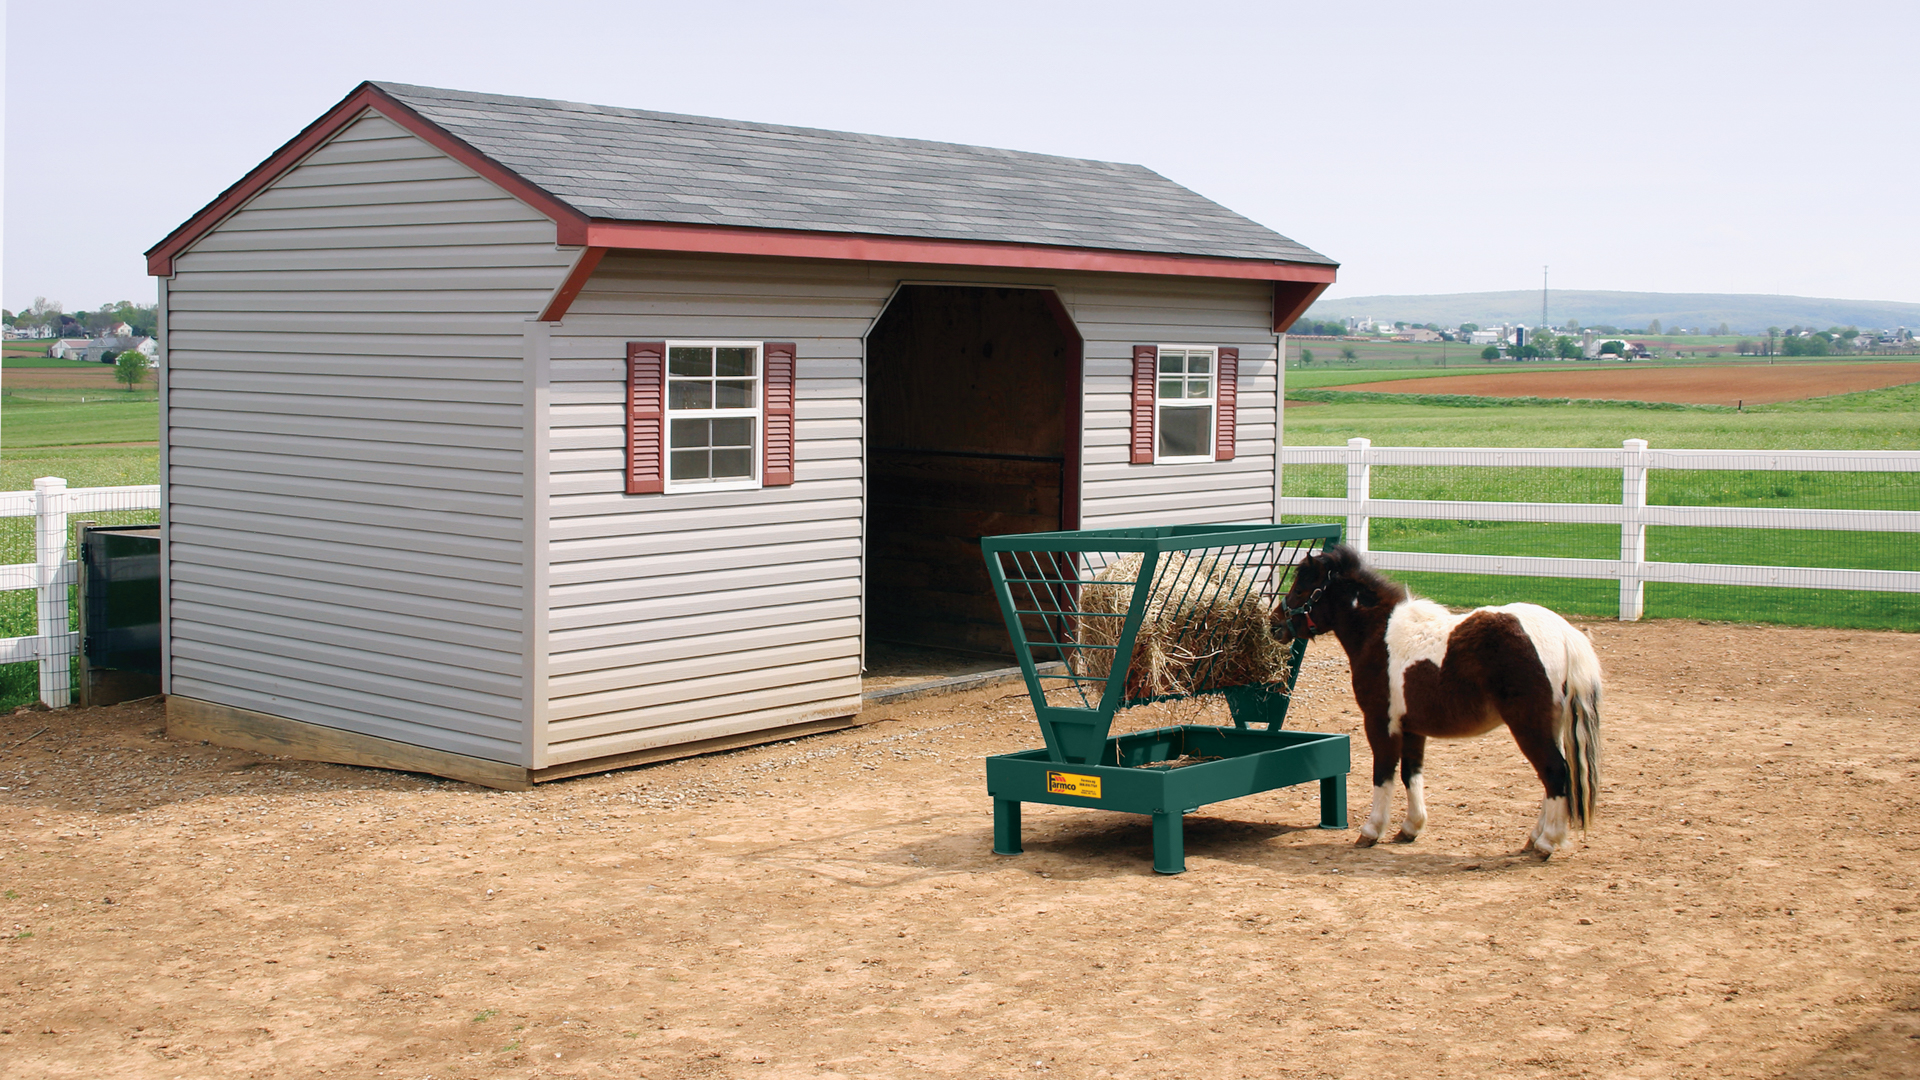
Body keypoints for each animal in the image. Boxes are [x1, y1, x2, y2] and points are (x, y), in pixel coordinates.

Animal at [1274, 541, 1605, 853]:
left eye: (1301, 588)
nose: (1275, 624)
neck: (1378, 633)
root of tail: (1565, 634)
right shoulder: (1412, 728)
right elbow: (1411, 773)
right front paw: (1411, 827)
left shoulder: (1381, 722)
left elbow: (1383, 773)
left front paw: (1371, 830)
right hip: (1549, 726)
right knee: (1552, 776)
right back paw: (1535, 838)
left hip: (1528, 726)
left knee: (1555, 772)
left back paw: (1547, 842)